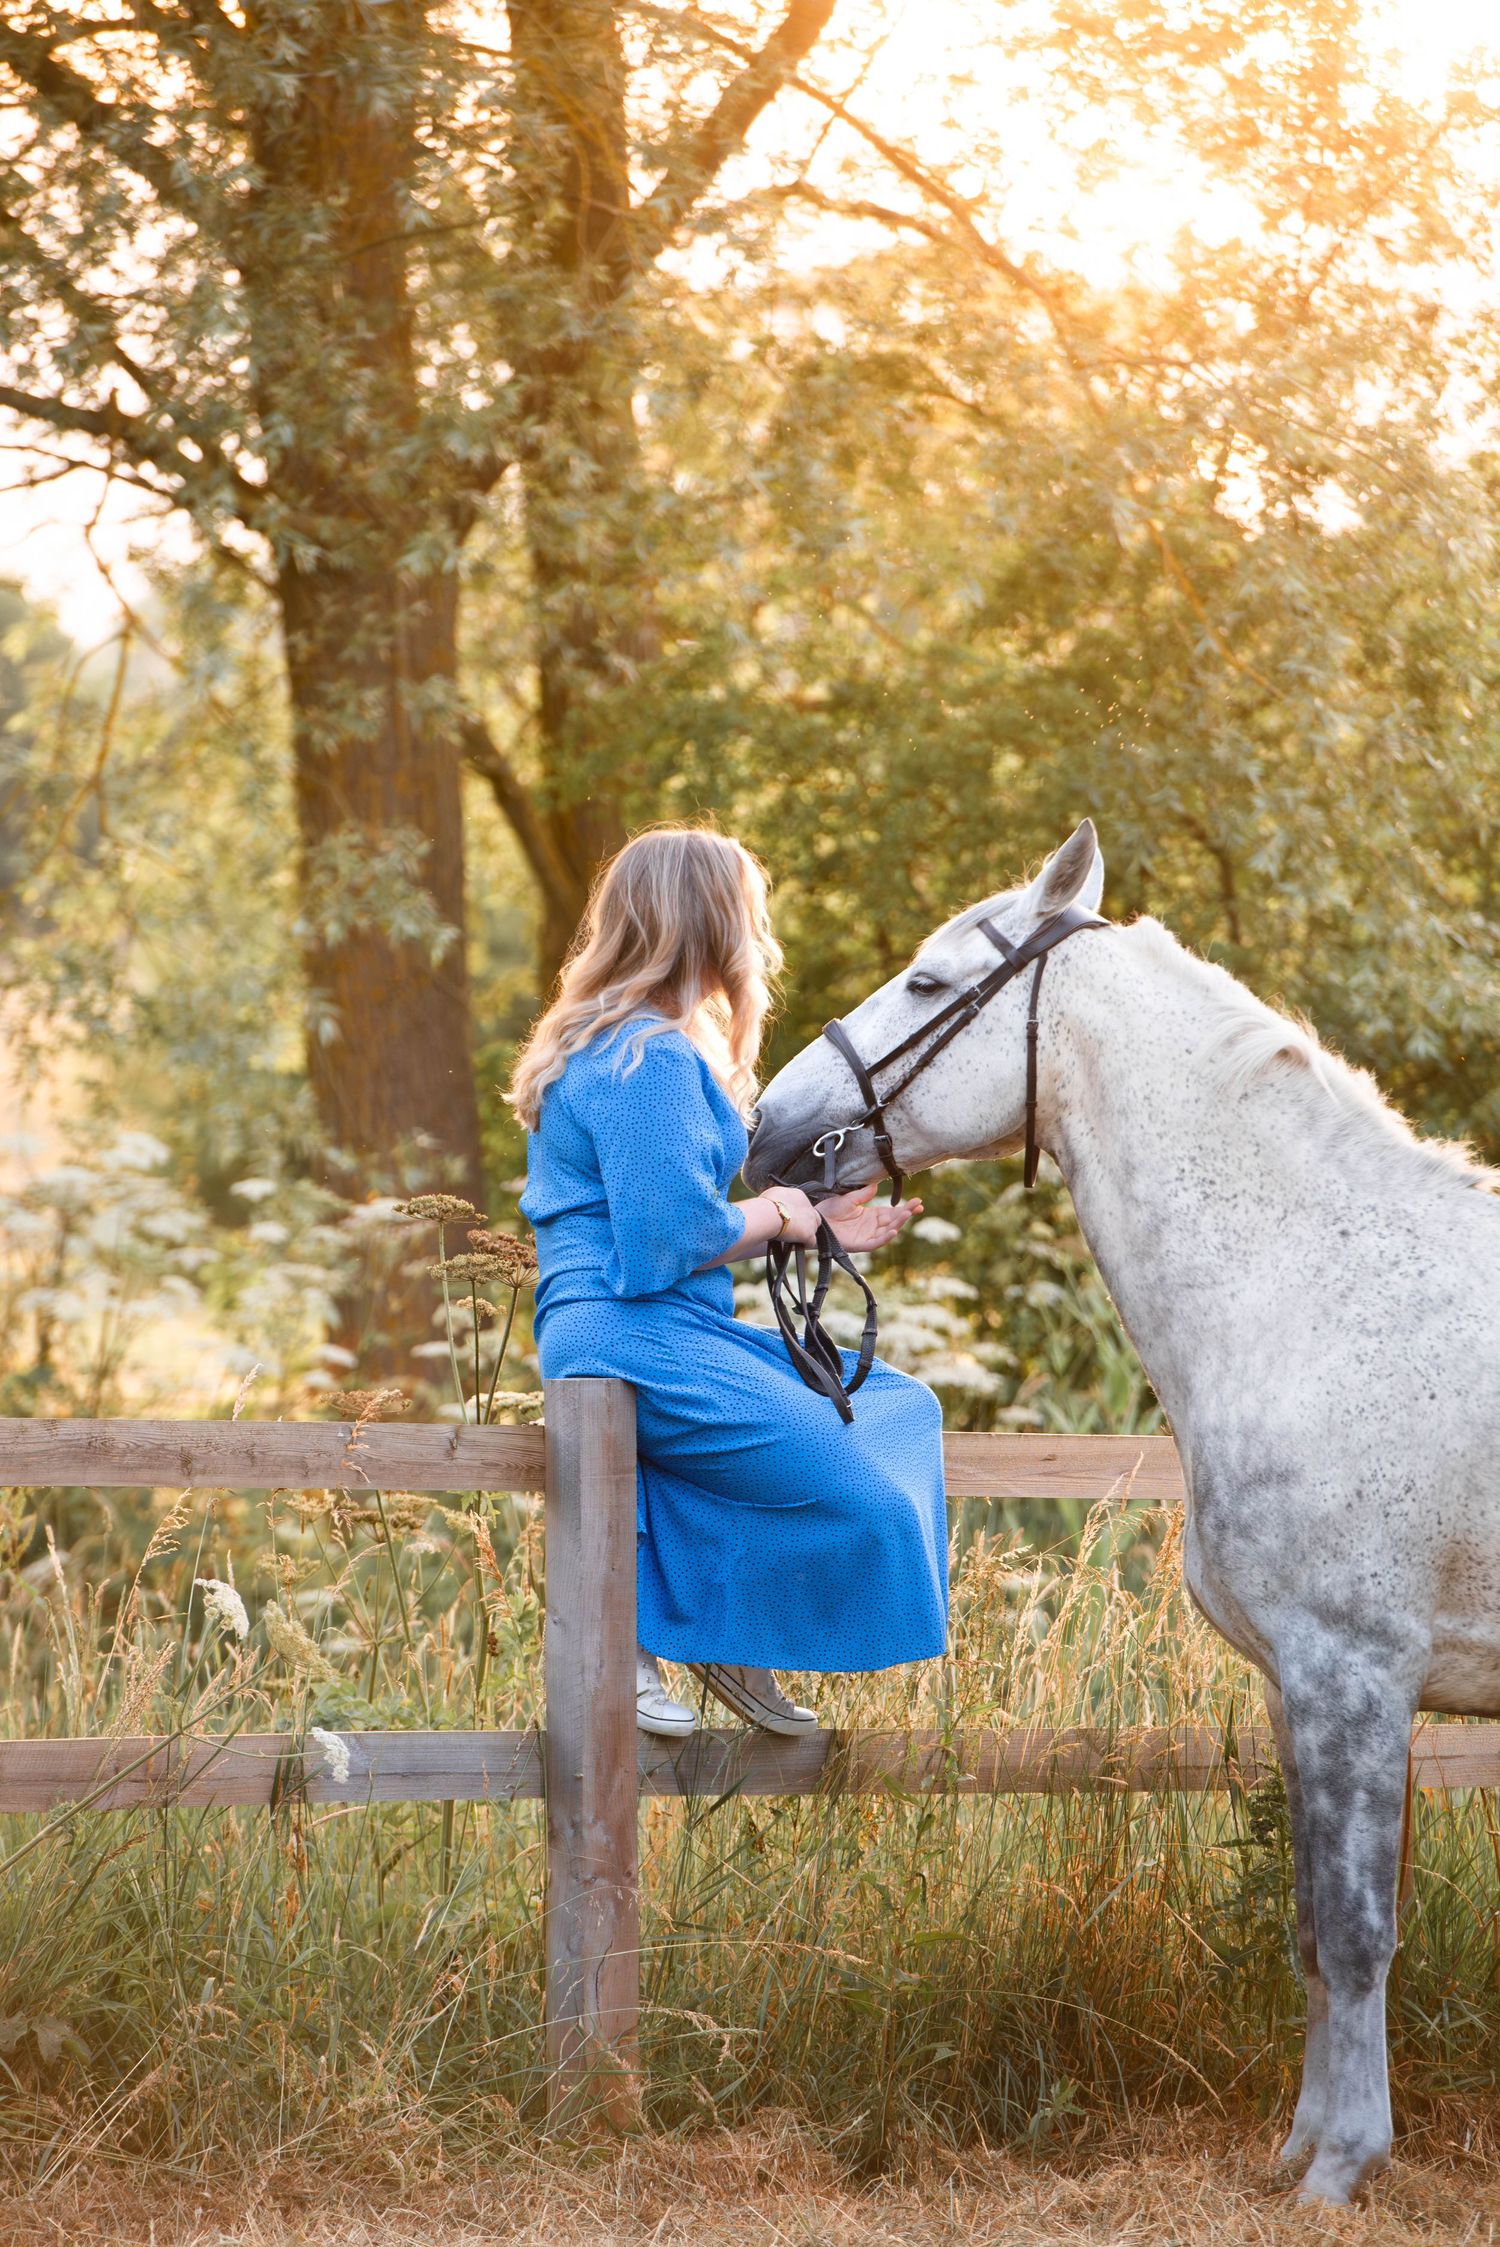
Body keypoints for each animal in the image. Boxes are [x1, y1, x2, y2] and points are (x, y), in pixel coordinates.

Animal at [743, 819, 1500, 2206]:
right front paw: (1299, 2144)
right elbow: (1309, 1930)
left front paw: (1342, 2167)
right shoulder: (1296, 1687)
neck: (1314, 1293)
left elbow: (1360, 1932)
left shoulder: (1358, 1675)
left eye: (928, 984)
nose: (769, 1129)